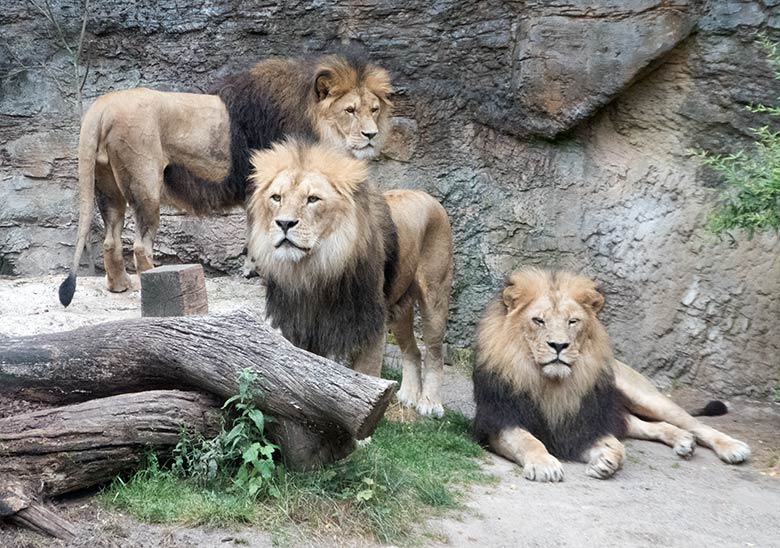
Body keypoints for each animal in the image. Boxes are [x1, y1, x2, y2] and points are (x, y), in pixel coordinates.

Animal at [58, 54, 394, 308]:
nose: (371, 135)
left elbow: (255, 227)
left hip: (107, 185)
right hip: (146, 184)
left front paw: (252, 268)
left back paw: (120, 286)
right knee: (140, 245)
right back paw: (151, 283)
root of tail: (102, 106)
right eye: (350, 110)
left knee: (111, 240)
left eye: (374, 109)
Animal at [242, 139, 450, 418]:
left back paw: (430, 403)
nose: (284, 223)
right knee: (412, 350)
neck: (314, 271)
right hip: (398, 308)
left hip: (435, 297)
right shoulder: (299, 325)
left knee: (435, 352)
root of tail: (427, 195)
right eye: (277, 197)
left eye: (312, 199)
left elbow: (367, 374)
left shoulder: (370, 322)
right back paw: (407, 395)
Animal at [472, 268, 752, 482]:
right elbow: (528, 441)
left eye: (573, 321)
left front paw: (607, 461)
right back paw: (684, 440)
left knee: (693, 423)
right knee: (649, 426)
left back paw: (731, 446)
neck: (551, 383)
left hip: (643, 396)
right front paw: (545, 465)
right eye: (538, 321)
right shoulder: (500, 421)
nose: (559, 345)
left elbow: (617, 447)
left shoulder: (586, 423)